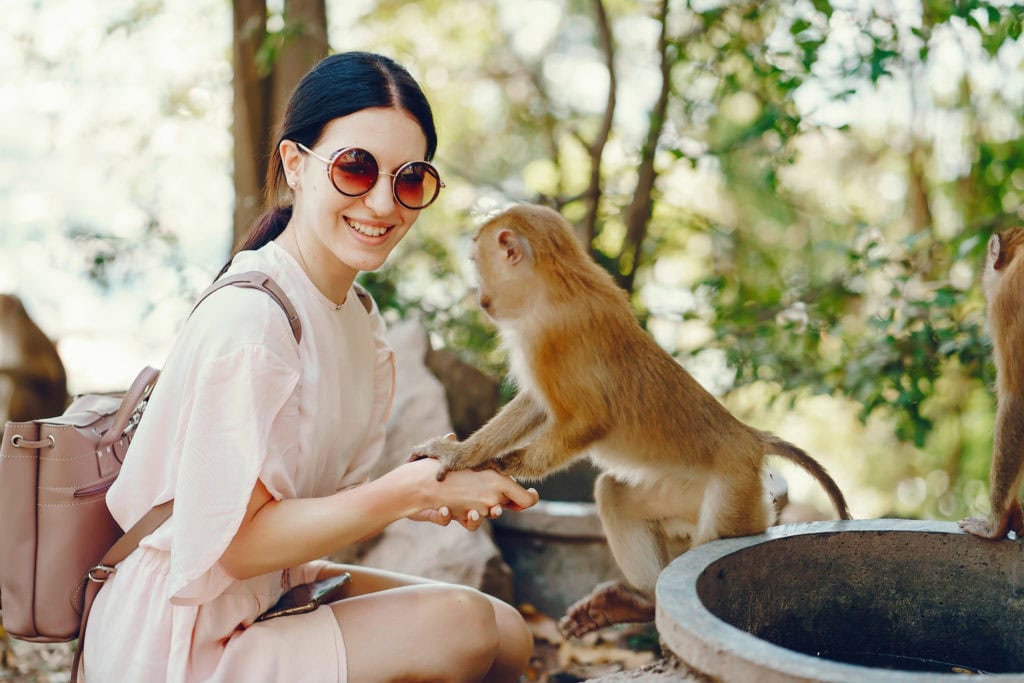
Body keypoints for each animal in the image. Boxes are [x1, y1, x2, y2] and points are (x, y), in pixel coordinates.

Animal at [410, 204, 851, 638]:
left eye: (476, 262)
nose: (479, 296)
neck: (555, 283)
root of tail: (749, 437)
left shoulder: (548, 340)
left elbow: (589, 419)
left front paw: (501, 466)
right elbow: (537, 406)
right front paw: (465, 454)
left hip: (735, 491)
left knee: (713, 531)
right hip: (693, 491)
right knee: (615, 495)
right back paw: (641, 603)